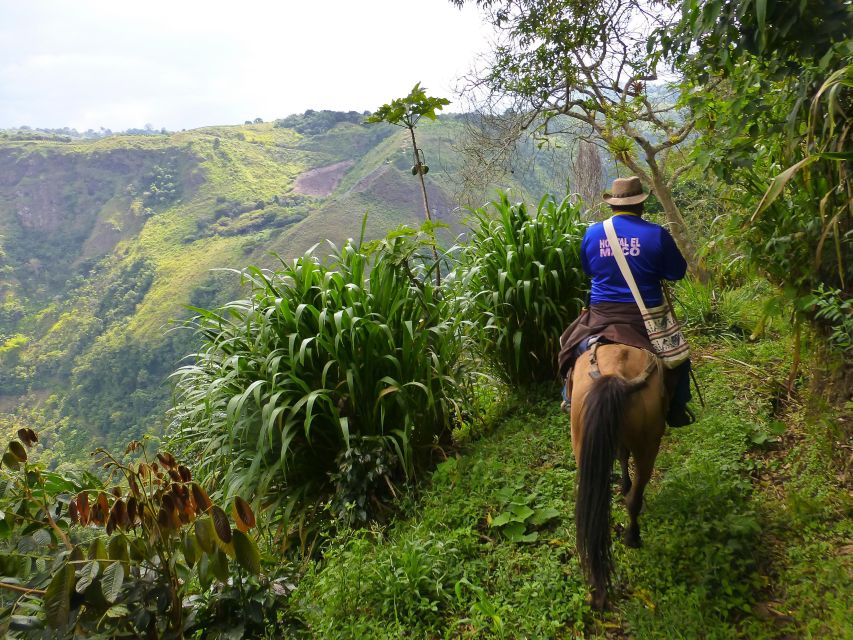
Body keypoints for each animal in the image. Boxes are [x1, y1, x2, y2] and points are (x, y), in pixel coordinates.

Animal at [572, 344, 664, 608]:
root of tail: (617, 376)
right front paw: (625, 485)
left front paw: (624, 484)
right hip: (648, 444)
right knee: (634, 498)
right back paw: (632, 536)